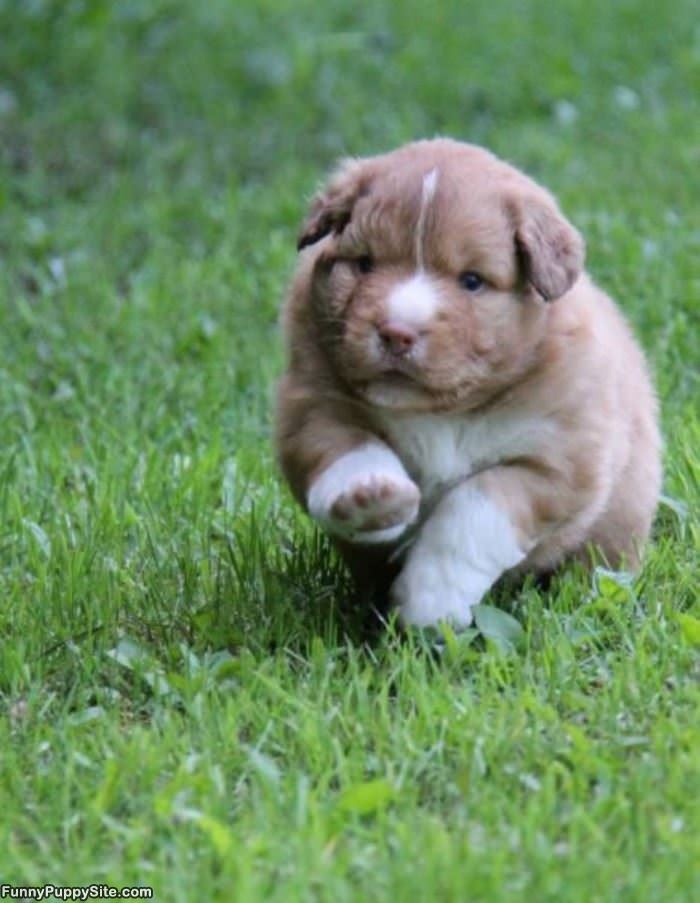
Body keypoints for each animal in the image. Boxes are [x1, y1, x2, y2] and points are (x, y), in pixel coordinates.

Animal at [274, 139, 660, 628]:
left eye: (472, 281)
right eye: (364, 264)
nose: (397, 333)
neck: (441, 412)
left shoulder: (558, 462)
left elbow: (472, 514)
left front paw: (429, 604)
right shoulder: (311, 407)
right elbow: (348, 448)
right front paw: (369, 498)